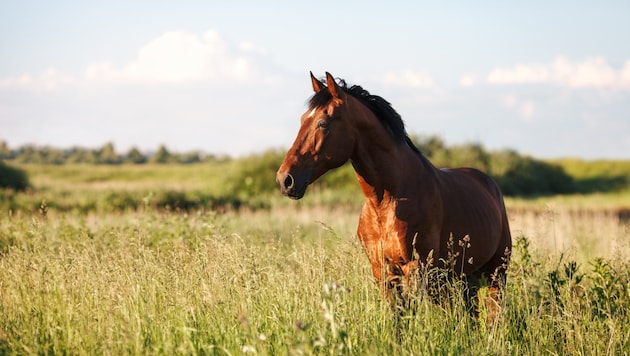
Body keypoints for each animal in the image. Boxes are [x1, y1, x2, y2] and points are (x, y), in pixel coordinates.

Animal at [276, 72, 512, 318]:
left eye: (322, 123)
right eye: (303, 119)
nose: (285, 179)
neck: (387, 201)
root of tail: (489, 184)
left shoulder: (415, 268)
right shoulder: (383, 271)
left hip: (496, 272)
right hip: (463, 277)